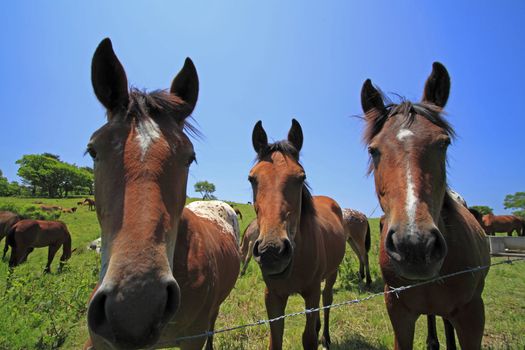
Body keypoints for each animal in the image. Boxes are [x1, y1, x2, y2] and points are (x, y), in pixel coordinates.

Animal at [249, 119, 346, 348]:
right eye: (252, 179)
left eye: (301, 177)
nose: (271, 250)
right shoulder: (273, 296)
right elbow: (275, 340)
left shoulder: (311, 293)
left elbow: (308, 338)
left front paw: (317, 336)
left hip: (331, 275)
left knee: (326, 301)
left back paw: (325, 337)